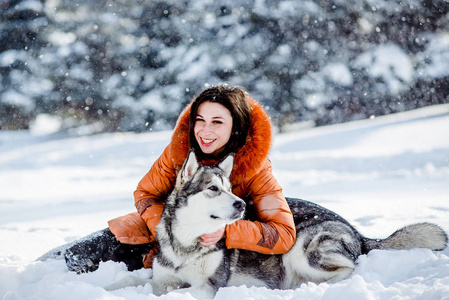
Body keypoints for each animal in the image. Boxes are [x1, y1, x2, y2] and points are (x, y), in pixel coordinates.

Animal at [111, 151, 444, 298]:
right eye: (214, 189)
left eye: (229, 188)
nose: (240, 204)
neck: (187, 244)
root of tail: (358, 232)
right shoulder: (161, 278)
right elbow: (136, 283)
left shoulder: (206, 287)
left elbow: (175, 294)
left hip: (303, 249)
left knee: (350, 269)